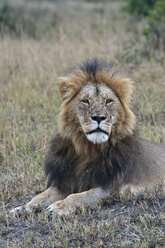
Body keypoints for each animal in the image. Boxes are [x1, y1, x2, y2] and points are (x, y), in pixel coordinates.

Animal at [10, 59, 165, 216]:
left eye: (108, 101)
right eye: (85, 101)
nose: (99, 117)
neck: (87, 149)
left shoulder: (109, 189)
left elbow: (78, 196)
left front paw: (59, 207)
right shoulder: (64, 183)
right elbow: (40, 196)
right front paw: (22, 208)